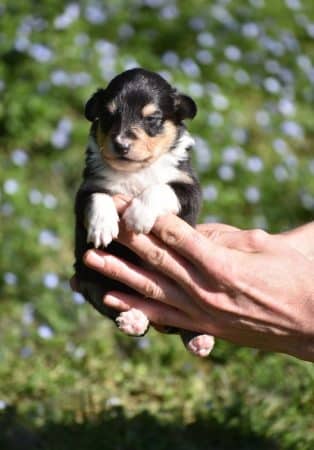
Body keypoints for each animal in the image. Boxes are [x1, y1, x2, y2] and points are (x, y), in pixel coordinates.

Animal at [75, 67, 215, 356]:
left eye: (152, 118)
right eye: (108, 115)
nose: (121, 145)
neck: (135, 172)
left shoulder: (189, 189)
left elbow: (160, 188)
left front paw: (137, 216)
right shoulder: (86, 188)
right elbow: (99, 197)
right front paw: (103, 226)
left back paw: (200, 339)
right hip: (91, 281)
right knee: (117, 304)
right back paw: (134, 319)